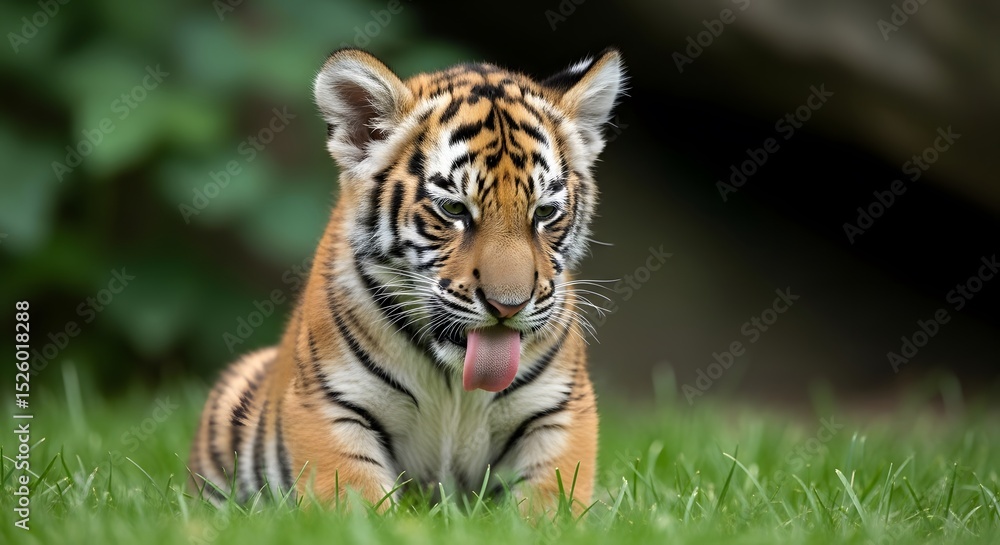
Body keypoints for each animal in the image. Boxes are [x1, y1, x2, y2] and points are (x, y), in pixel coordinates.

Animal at [187, 47, 625, 513]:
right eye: (453, 210)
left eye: (544, 213)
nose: (508, 306)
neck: (455, 383)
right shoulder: (330, 405)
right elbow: (355, 499)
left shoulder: (559, 410)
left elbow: (549, 503)